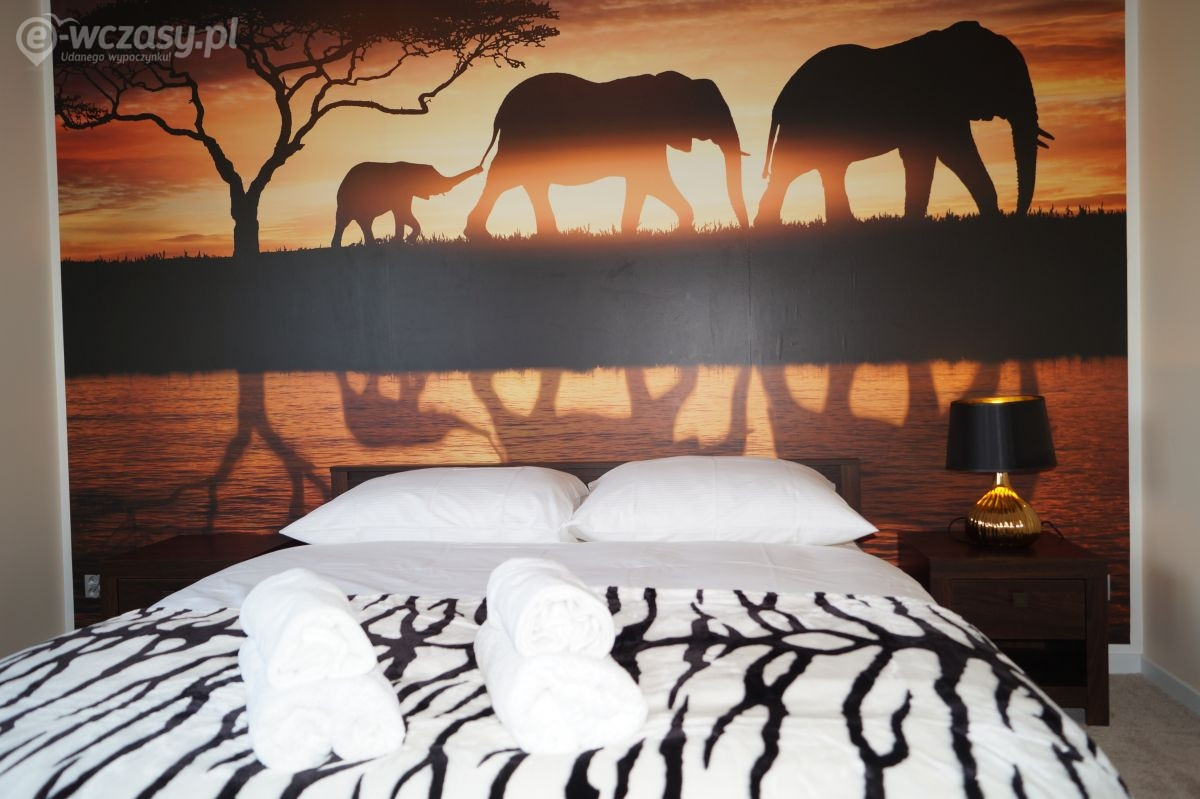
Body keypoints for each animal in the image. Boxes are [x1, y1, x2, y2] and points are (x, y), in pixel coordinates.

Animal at [332, 162, 481, 247]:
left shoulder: (407, 193)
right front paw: (405, 241)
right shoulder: (401, 190)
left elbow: (404, 215)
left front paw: (403, 241)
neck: (414, 165)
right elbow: (402, 213)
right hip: (351, 200)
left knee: (360, 222)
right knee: (349, 221)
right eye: (433, 179)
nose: (480, 169)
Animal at [464, 71, 749, 238]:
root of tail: (501, 110)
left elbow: (649, 180)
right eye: (709, 111)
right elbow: (651, 178)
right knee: (505, 176)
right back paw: (481, 235)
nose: (746, 230)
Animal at [756, 21, 1054, 226]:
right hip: (805, 125)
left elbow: (952, 154)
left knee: (821, 170)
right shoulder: (929, 105)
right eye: (1004, 79)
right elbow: (939, 154)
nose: (1017, 216)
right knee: (791, 170)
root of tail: (781, 99)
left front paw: (992, 221)